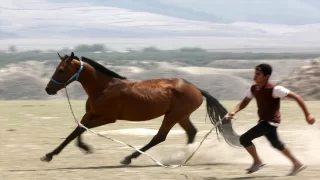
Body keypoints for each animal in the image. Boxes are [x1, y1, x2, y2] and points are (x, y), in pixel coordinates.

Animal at [40, 51, 240, 165]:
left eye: (61, 70)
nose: (48, 89)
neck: (104, 87)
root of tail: (197, 89)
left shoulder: (107, 118)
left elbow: (80, 130)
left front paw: (53, 154)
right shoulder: (90, 113)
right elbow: (75, 131)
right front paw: (62, 152)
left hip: (173, 115)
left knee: (160, 137)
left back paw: (129, 158)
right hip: (181, 116)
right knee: (191, 132)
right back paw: (183, 156)